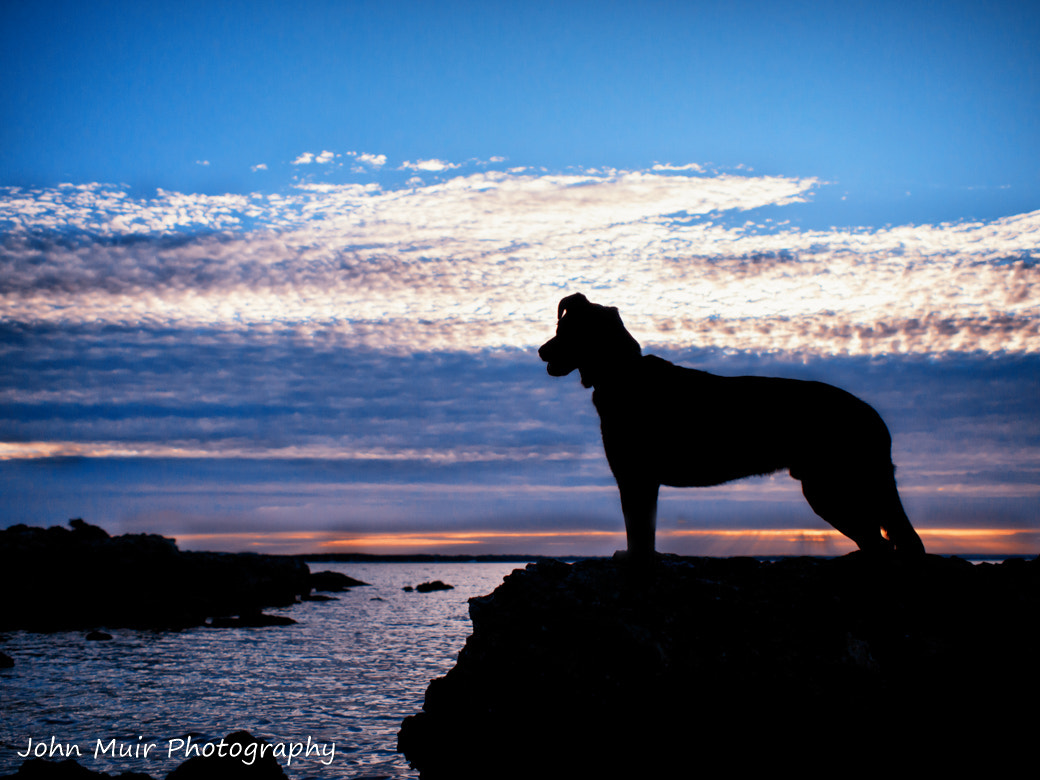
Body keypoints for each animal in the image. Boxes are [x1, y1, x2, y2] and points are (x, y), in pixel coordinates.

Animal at [540, 295, 923, 561]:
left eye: (565, 332)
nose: (541, 351)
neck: (621, 372)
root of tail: (874, 417)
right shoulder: (640, 479)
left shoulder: (637, 477)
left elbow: (639, 531)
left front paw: (636, 559)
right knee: (881, 538)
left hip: (831, 486)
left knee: (880, 540)